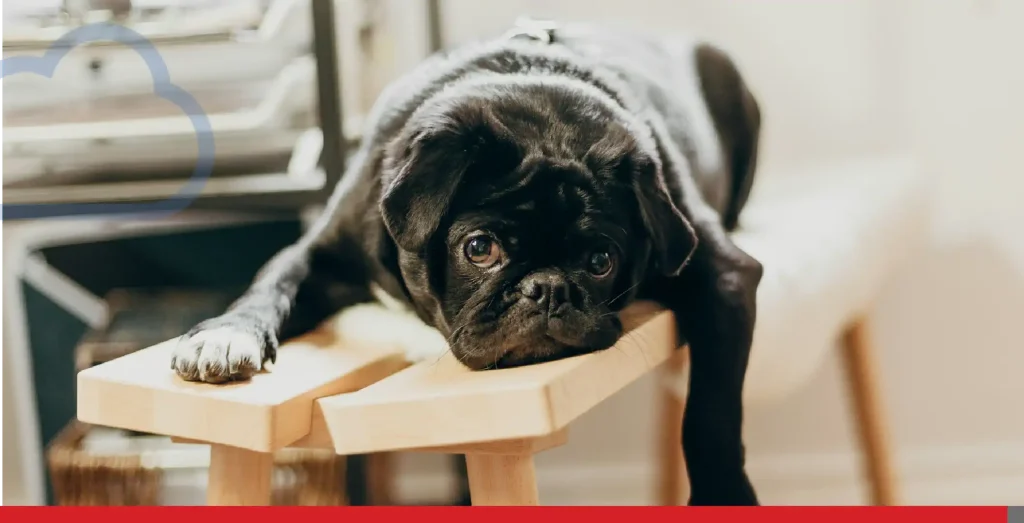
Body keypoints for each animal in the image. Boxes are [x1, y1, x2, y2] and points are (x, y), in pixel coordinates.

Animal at [169, 20, 761, 507]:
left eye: (601, 261)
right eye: (479, 249)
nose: (547, 288)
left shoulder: (725, 277)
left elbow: (711, 410)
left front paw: (723, 496)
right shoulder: (317, 254)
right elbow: (270, 286)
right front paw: (224, 335)